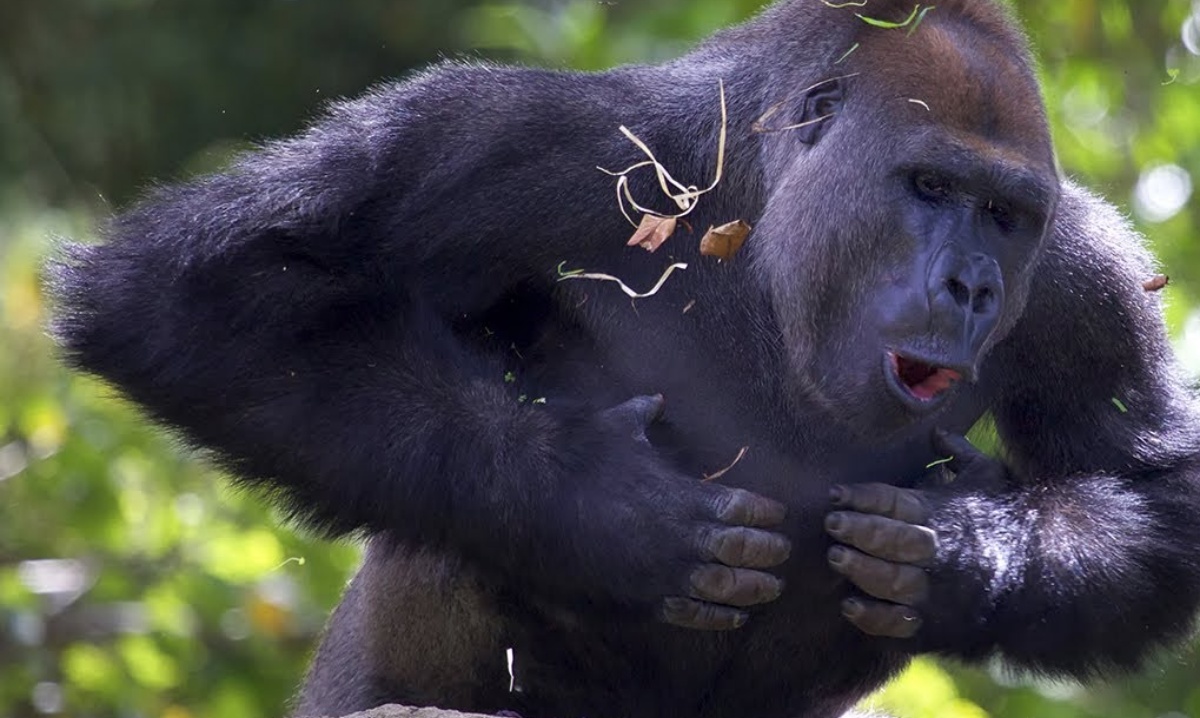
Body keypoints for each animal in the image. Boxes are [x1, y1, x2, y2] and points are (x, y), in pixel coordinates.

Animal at [51, 1, 1200, 718]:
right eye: (927, 187)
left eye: (1005, 218)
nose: (973, 287)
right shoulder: (534, 139)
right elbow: (201, 293)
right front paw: (610, 511)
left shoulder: (1081, 274)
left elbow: (1159, 494)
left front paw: (963, 554)